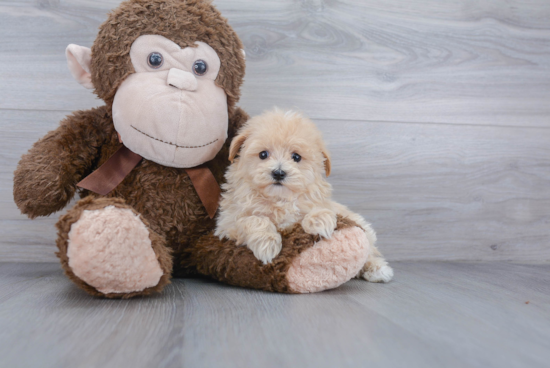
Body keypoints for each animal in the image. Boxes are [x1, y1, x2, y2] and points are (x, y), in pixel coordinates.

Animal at [217, 109, 396, 282]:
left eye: (296, 157)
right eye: (263, 154)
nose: (278, 173)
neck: (280, 199)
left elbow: (321, 209)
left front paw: (320, 222)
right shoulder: (227, 223)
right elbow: (253, 219)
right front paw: (267, 244)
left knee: (369, 249)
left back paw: (377, 269)